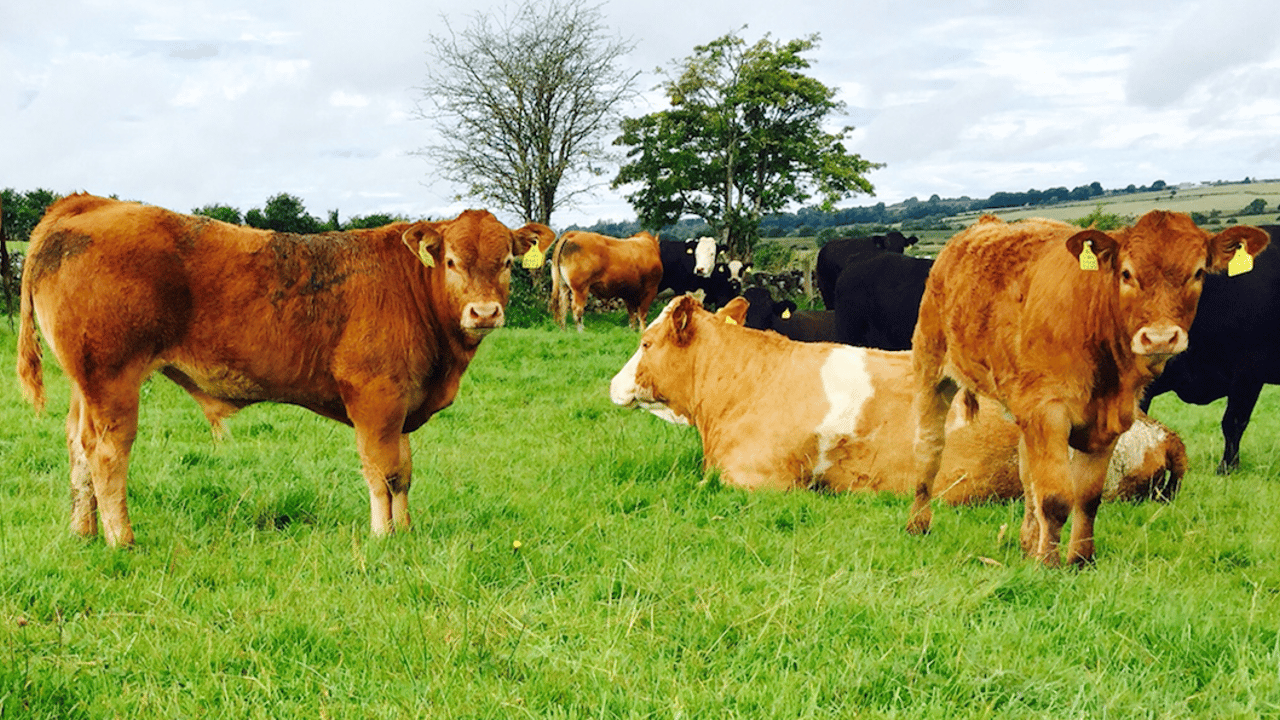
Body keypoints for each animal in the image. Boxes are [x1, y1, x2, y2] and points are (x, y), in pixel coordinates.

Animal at [16, 193, 549, 547]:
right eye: (453, 261)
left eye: (507, 261)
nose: (484, 312)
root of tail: (87, 204)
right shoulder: (375, 397)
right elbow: (381, 470)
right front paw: (383, 537)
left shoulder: (402, 402)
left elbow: (403, 472)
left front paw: (406, 531)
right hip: (114, 378)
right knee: (107, 452)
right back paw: (120, 538)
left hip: (86, 383)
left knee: (77, 446)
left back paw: (83, 531)